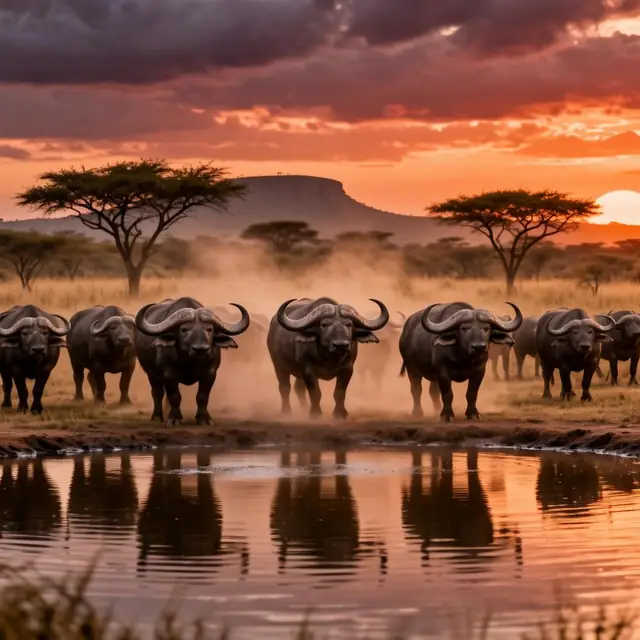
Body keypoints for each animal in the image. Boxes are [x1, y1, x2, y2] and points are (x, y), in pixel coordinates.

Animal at [134, 297, 250, 426]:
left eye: (209, 329)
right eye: (184, 329)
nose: (201, 349)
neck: (190, 362)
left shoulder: (210, 373)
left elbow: (202, 396)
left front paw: (204, 418)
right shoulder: (168, 374)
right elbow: (174, 396)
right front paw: (174, 418)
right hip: (151, 373)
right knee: (157, 393)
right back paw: (157, 417)